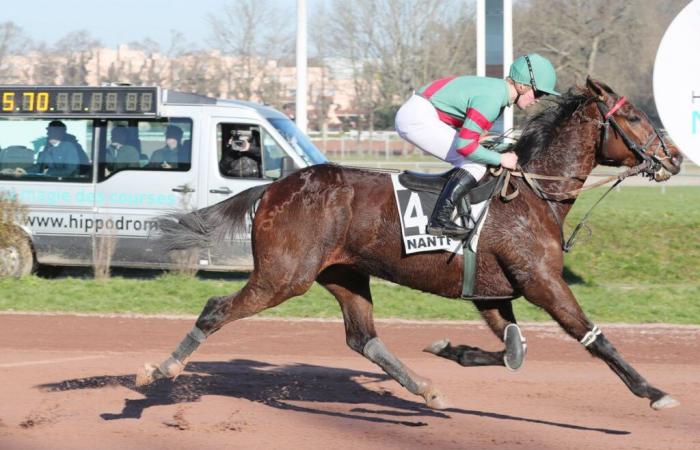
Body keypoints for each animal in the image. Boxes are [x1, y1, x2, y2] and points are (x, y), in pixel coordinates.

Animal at [135, 78, 684, 412]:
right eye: (636, 117)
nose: (676, 157)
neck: (534, 194)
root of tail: (273, 188)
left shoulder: (492, 291)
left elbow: (513, 352)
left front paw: (449, 348)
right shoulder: (542, 282)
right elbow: (593, 337)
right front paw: (654, 391)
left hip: (343, 274)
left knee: (363, 339)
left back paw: (424, 387)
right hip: (283, 275)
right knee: (216, 308)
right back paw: (158, 371)